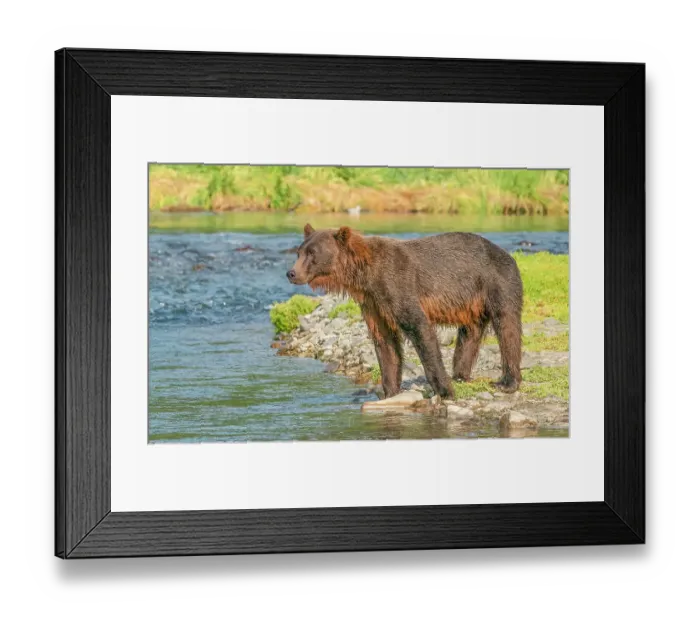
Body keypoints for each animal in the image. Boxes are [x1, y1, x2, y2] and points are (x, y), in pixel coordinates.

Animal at [287, 224, 523, 400]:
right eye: (298, 252)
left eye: (312, 253)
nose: (291, 273)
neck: (365, 276)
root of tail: (506, 253)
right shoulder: (374, 304)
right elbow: (385, 342)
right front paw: (390, 391)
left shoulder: (397, 286)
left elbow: (419, 329)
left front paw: (445, 390)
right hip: (472, 301)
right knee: (470, 333)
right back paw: (461, 374)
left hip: (497, 281)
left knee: (507, 326)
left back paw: (507, 382)